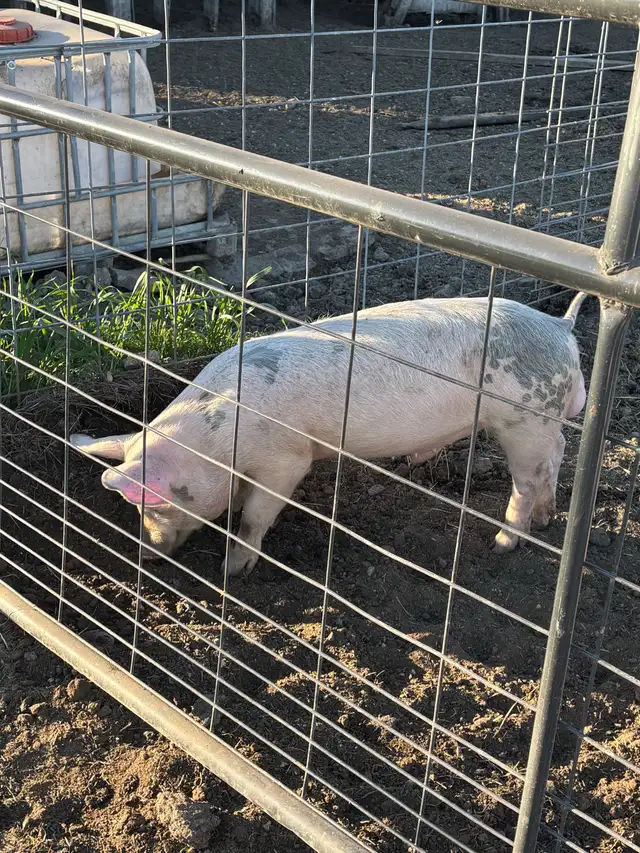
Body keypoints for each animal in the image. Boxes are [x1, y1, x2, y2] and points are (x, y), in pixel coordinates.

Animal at [70, 291, 587, 577]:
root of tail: (559, 327)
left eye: (155, 503)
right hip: (543, 421)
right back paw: (547, 519)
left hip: (524, 419)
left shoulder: (287, 459)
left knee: (527, 480)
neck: (216, 445)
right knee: (557, 456)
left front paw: (232, 570)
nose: (148, 554)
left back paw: (503, 543)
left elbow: (256, 517)